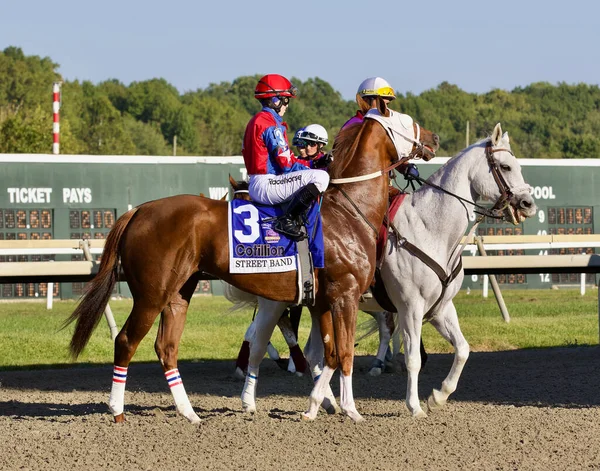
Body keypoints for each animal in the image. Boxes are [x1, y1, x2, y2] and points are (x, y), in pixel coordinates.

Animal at [65, 98, 438, 424]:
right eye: (404, 119)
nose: (433, 139)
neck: (349, 210)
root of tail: (139, 210)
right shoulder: (344, 295)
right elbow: (344, 354)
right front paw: (351, 410)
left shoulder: (323, 300)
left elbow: (330, 354)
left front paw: (314, 407)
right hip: (151, 294)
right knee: (126, 341)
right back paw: (117, 409)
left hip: (178, 293)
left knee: (166, 348)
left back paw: (190, 413)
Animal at [238, 124, 536, 420]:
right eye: (505, 166)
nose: (528, 204)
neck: (430, 228)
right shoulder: (410, 308)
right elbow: (413, 358)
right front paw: (415, 406)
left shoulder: (440, 308)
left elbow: (463, 350)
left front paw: (438, 396)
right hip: (276, 303)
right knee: (258, 342)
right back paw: (249, 401)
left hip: (321, 304)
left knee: (314, 353)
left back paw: (327, 402)